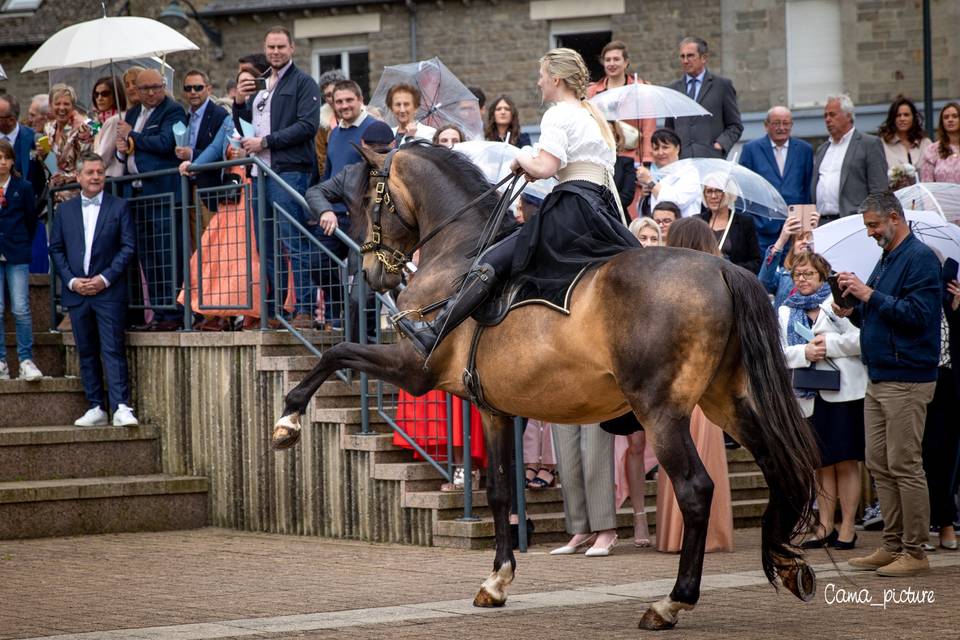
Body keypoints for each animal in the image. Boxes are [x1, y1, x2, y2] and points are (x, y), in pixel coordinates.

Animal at [274, 145, 820, 632]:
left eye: (370, 199)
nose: (370, 273)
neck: (460, 253)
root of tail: (722, 268)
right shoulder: (492, 408)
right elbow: (498, 491)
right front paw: (496, 580)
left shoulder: (414, 369)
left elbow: (337, 353)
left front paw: (288, 420)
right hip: (729, 401)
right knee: (779, 466)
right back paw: (787, 563)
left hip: (661, 413)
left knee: (696, 490)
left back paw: (671, 603)